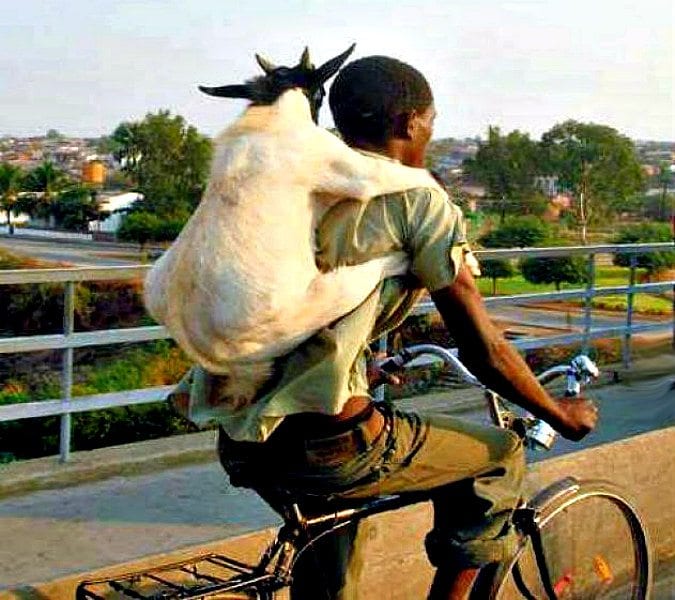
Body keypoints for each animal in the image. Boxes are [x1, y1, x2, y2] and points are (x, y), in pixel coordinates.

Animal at [144, 45, 447, 400]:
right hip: (325, 299)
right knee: (372, 272)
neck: (272, 107)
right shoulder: (356, 172)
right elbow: (415, 175)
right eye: (321, 92)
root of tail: (209, 352)